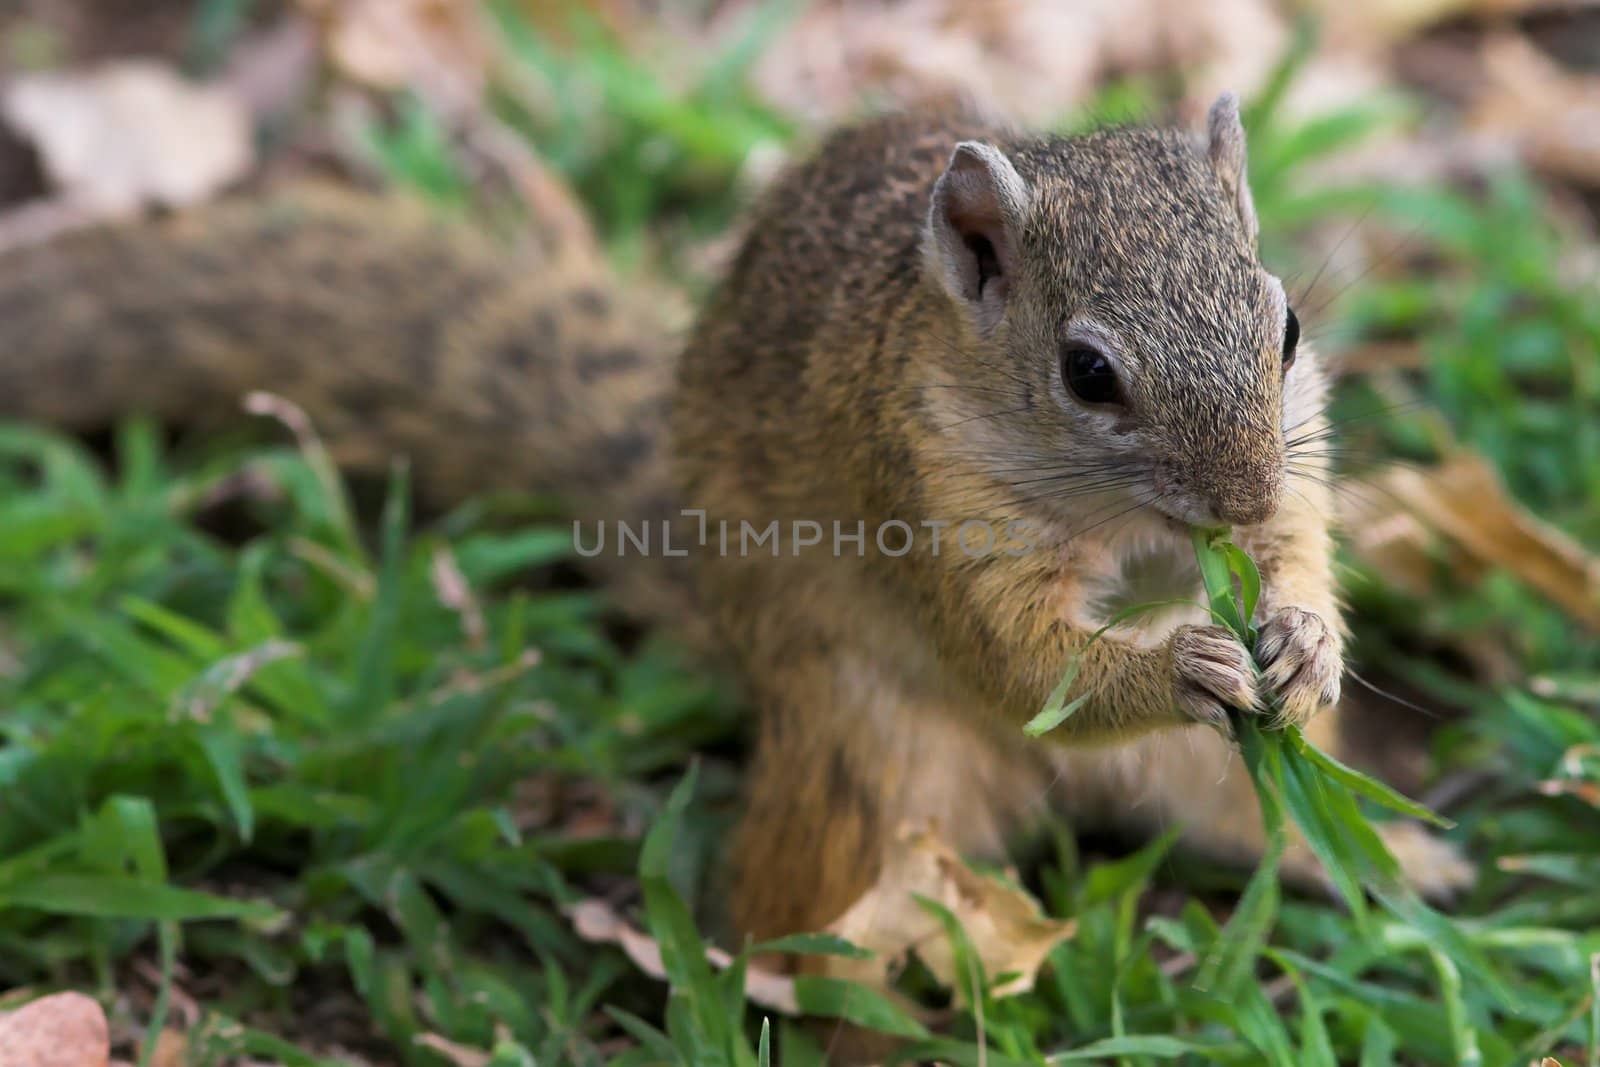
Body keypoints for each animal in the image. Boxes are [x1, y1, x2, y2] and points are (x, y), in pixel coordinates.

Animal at [0, 95, 1465, 953]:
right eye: (1089, 371)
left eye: (1287, 323)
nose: (1239, 496)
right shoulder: (920, 496)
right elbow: (1019, 656)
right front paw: (1186, 660)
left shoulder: (1296, 454)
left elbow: (1300, 542)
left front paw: (1300, 630)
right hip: (869, 759)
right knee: (813, 893)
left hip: (1211, 779)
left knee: (1243, 807)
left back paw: (1396, 856)